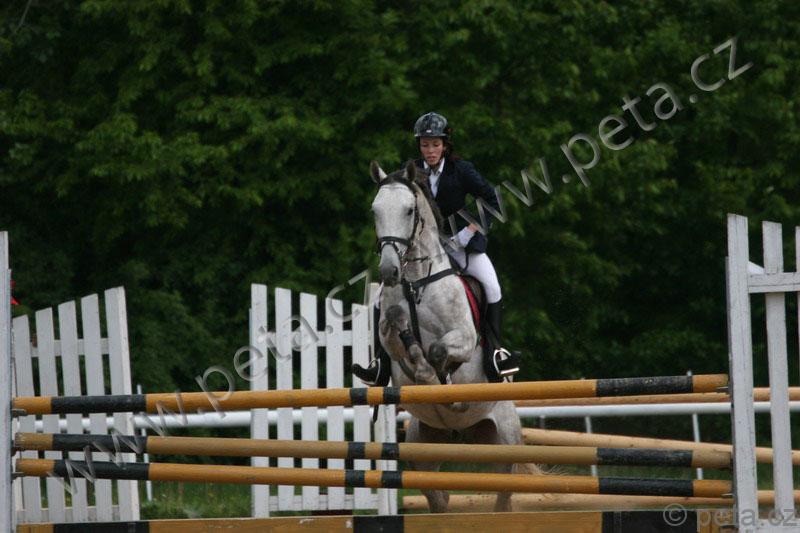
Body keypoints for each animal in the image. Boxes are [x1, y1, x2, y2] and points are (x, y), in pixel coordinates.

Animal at [370, 159, 538, 512]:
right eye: (375, 210)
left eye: (409, 210)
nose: (389, 272)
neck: (417, 281)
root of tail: (461, 435)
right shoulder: (393, 349)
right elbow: (401, 339)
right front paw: (421, 364)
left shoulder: (463, 339)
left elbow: (437, 351)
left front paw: (443, 385)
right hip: (423, 449)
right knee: (439, 498)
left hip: (505, 442)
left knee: (504, 496)